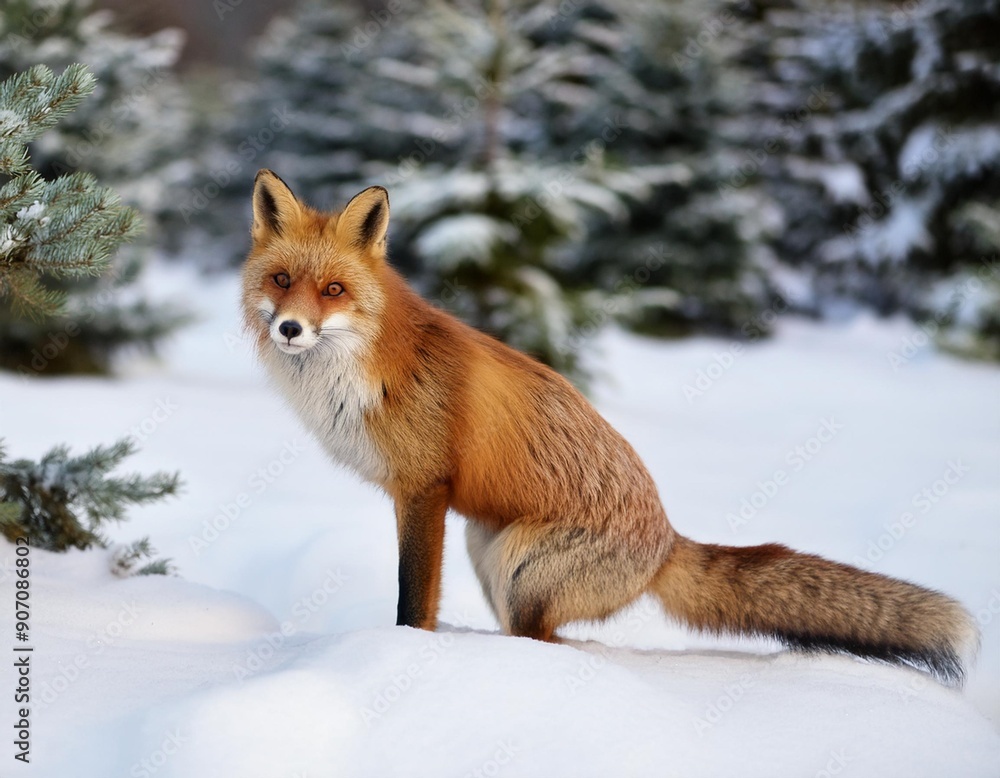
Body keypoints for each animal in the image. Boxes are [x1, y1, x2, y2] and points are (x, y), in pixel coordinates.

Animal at [242, 169, 977, 685]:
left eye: (333, 290)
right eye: (280, 280)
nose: (290, 328)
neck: (362, 372)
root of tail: (667, 540)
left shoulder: (423, 490)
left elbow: (411, 601)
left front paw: (403, 656)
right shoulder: (426, 500)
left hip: (519, 568)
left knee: (548, 644)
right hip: (489, 552)